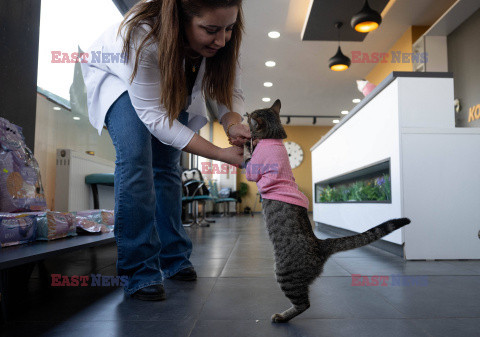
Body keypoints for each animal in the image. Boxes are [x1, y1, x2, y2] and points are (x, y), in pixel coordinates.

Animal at [246, 98, 410, 322]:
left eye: (251, 118)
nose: (246, 116)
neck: (275, 136)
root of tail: (320, 244)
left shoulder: (254, 169)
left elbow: (248, 160)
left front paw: (247, 144)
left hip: (284, 273)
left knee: (303, 303)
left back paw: (281, 317)